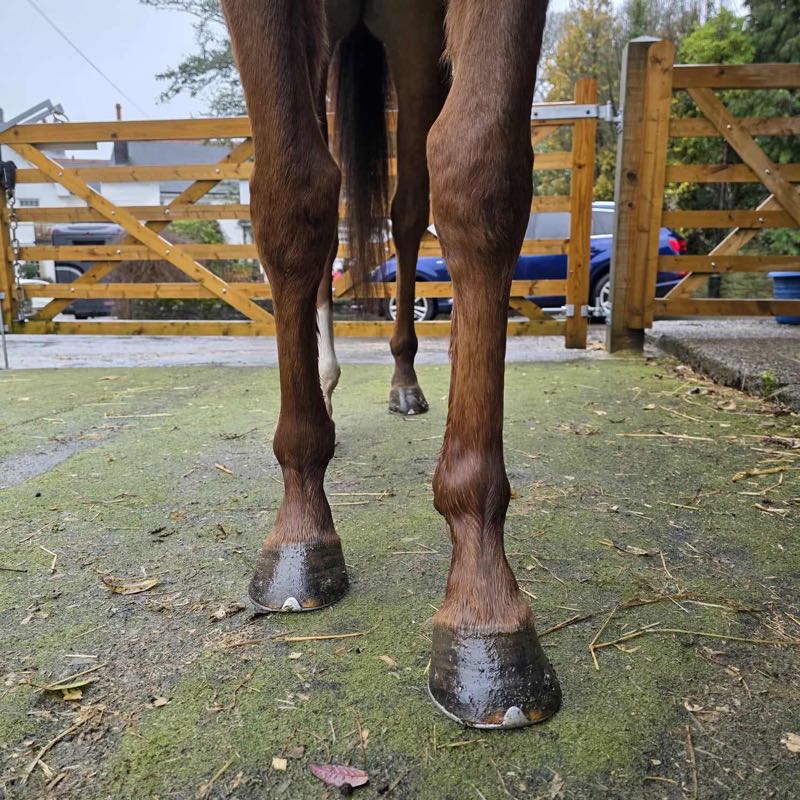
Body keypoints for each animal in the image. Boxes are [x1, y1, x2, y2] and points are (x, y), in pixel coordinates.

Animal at [221, 0, 561, 729]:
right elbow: (291, 193)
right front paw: (301, 531)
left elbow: (479, 174)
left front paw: (485, 610)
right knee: (326, 189)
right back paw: (325, 383)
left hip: (411, 39)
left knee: (408, 210)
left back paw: (404, 381)